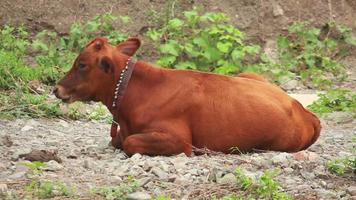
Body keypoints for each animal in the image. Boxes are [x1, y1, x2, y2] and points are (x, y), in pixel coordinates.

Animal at [53, 37, 322, 156]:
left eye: (82, 64)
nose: (56, 89)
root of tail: (304, 110)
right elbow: (118, 140)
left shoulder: (179, 140)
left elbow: (129, 143)